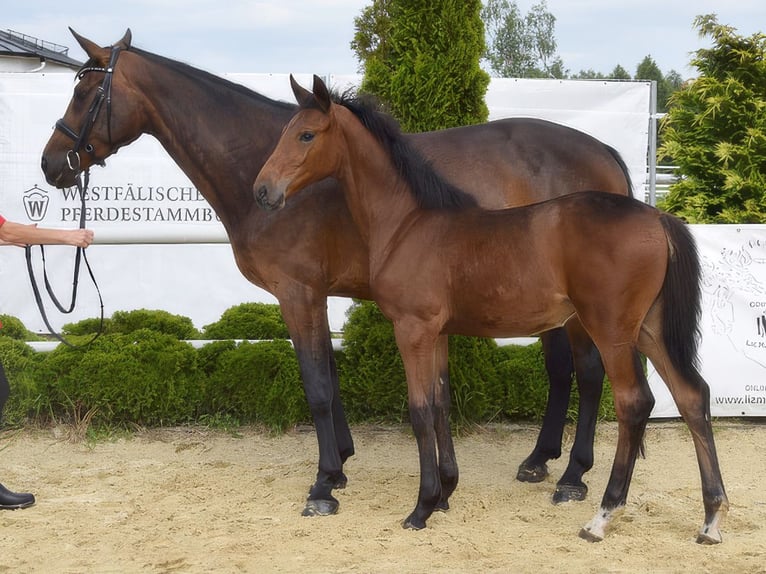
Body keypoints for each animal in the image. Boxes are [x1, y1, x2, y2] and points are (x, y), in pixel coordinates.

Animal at [39, 29, 632, 516]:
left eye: (86, 93)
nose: (50, 163)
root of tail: (604, 152)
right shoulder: (316, 295)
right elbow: (331, 372)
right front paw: (344, 462)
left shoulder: (297, 292)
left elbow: (318, 385)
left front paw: (324, 484)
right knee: (561, 372)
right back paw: (540, 461)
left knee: (589, 373)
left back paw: (574, 477)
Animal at [254, 75, 732, 544]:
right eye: (284, 131)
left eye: (306, 134)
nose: (263, 190)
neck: (409, 223)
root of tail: (659, 218)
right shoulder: (437, 333)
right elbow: (439, 404)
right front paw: (444, 494)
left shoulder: (412, 329)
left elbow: (419, 411)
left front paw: (421, 507)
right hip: (649, 329)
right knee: (691, 395)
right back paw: (711, 518)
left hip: (611, 330)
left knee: (634, 402)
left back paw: (600, 514)